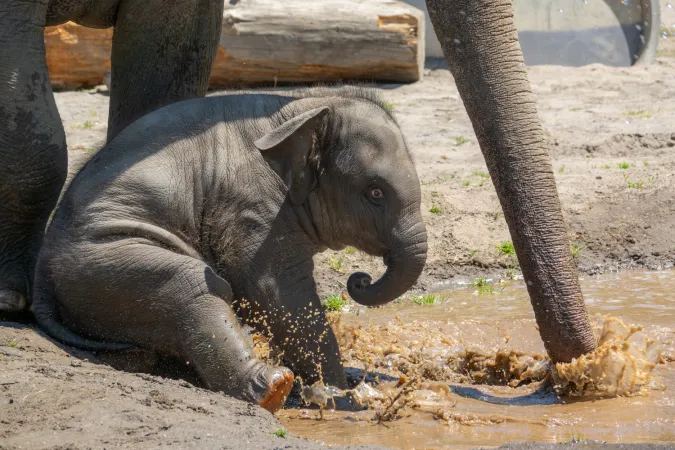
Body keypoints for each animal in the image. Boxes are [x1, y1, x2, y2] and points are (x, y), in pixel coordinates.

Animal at [31, 86, 428, 412]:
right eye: (375, 193)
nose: (359, 279)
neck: (305, 105)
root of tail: (41, 278)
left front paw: (339, 387)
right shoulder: (250, 208)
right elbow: (276, 290)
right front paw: (335, 394)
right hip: (98, 264)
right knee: (191, 283)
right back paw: (275, 388)